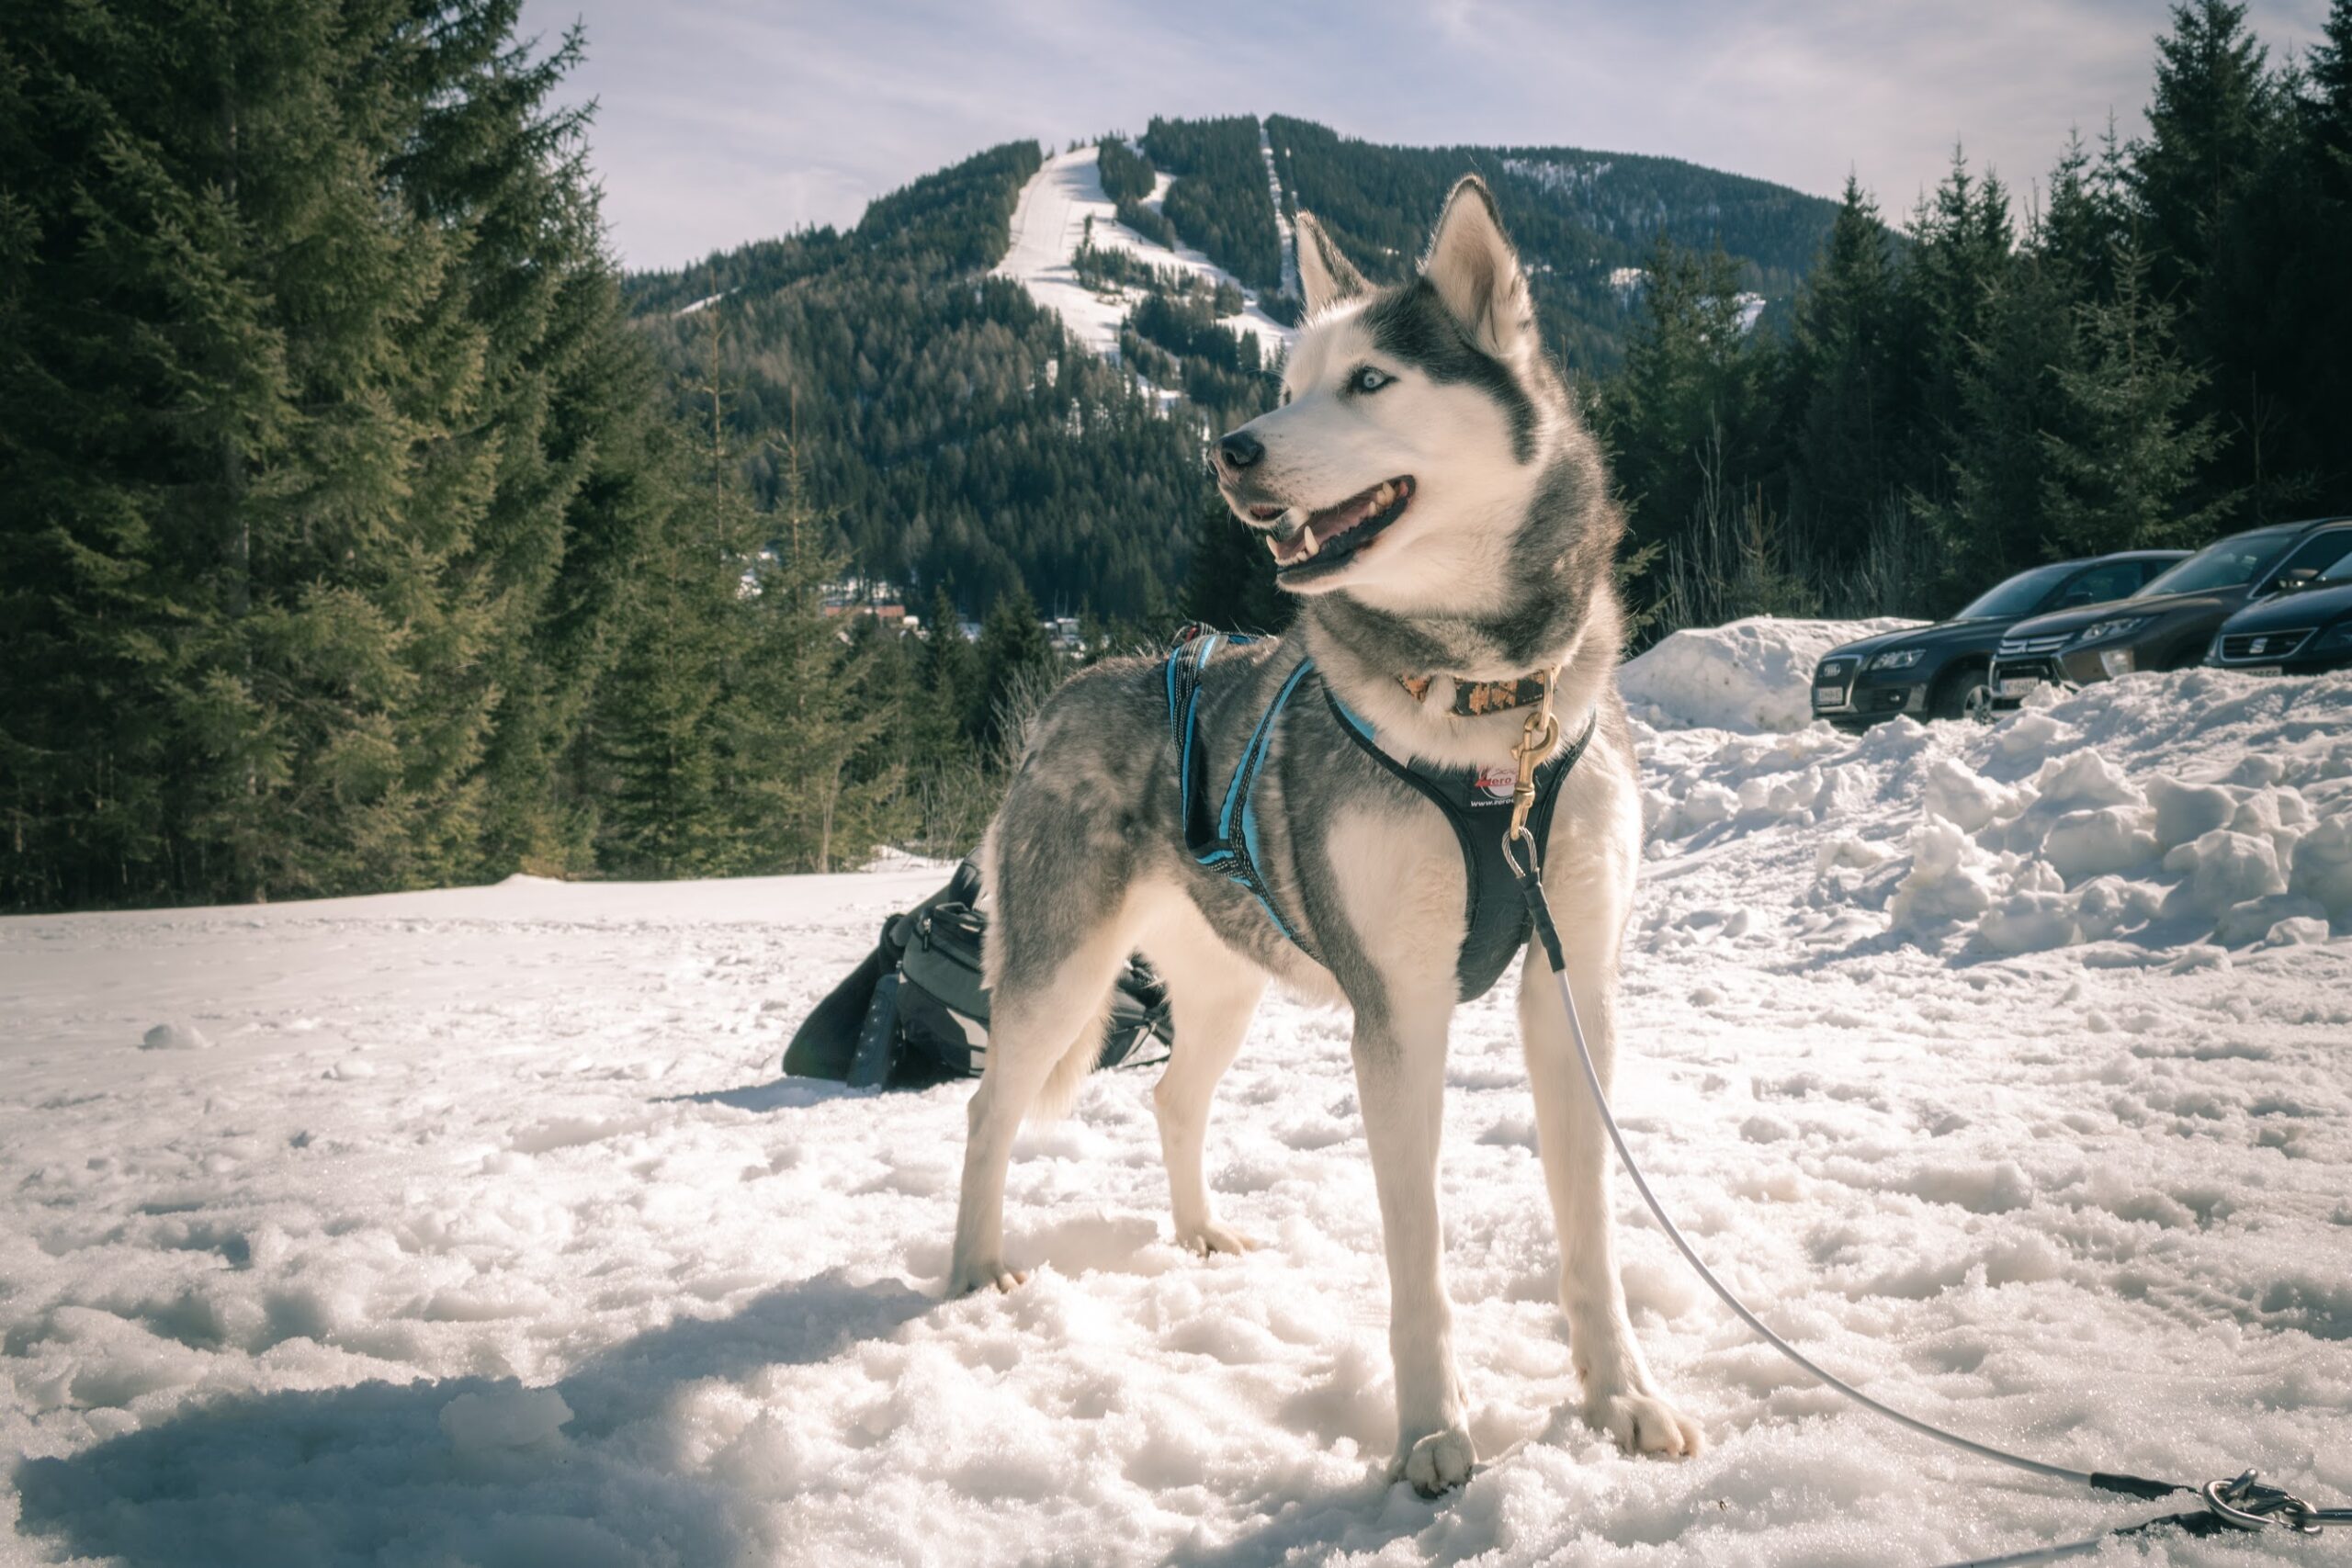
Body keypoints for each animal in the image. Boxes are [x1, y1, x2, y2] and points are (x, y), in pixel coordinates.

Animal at [945, 177, 1702, 1495]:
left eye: (1369, 381)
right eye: (1288, 379)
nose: (1230, 448)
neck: (1491, 716)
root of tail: (1072, 689)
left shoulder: (1573, 987)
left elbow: (1592, 1232)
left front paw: (1620, 1397)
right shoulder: (1398, 1011)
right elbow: (1419, 1252)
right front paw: (1433, 1432)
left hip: (1225, 983)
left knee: (1172, 1100)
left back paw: (1199, 1231)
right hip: (1059, 974)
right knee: (989, 1114)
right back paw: (975, 1271)